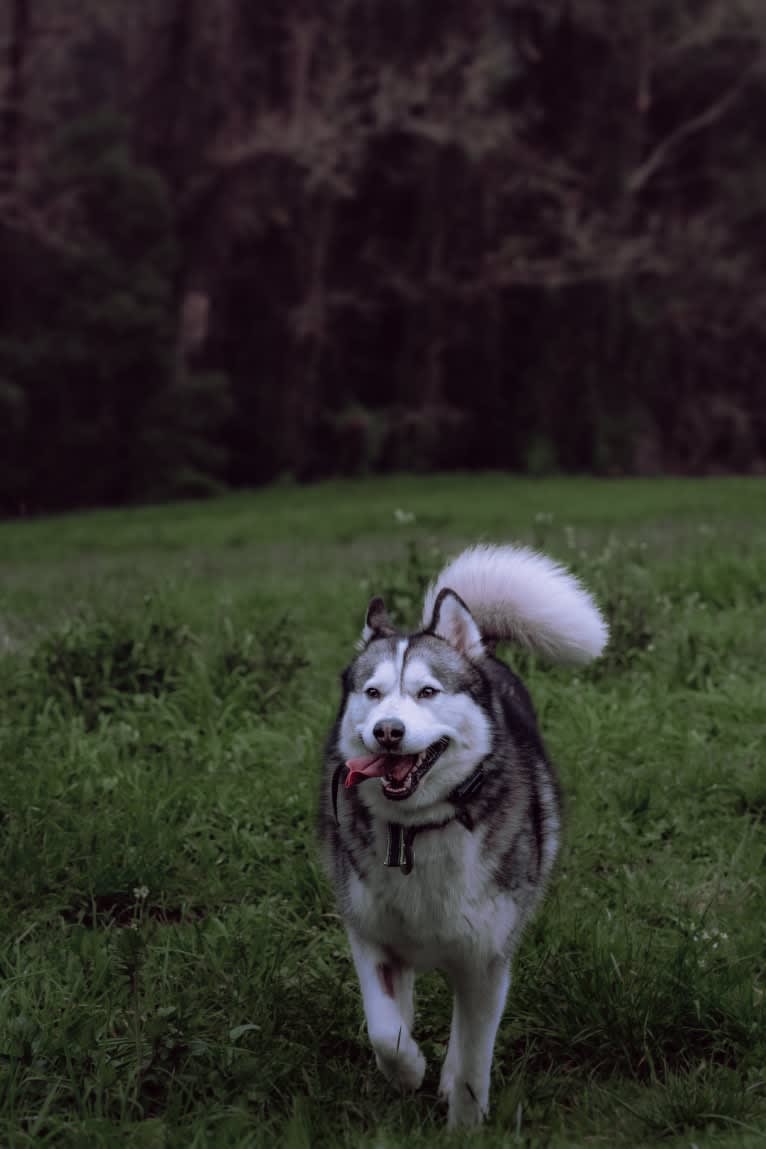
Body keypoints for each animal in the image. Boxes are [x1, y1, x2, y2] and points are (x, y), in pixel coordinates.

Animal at [316, 542, 606, 1126]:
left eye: (427, 691)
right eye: (373, 692)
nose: (387, 731)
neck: (418, 830)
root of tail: (483, 652)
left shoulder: (485, 960)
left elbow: (474, 1057)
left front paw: (464, 1121)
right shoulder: (369, 934)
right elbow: (385, 1032)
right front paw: (407, 1071)